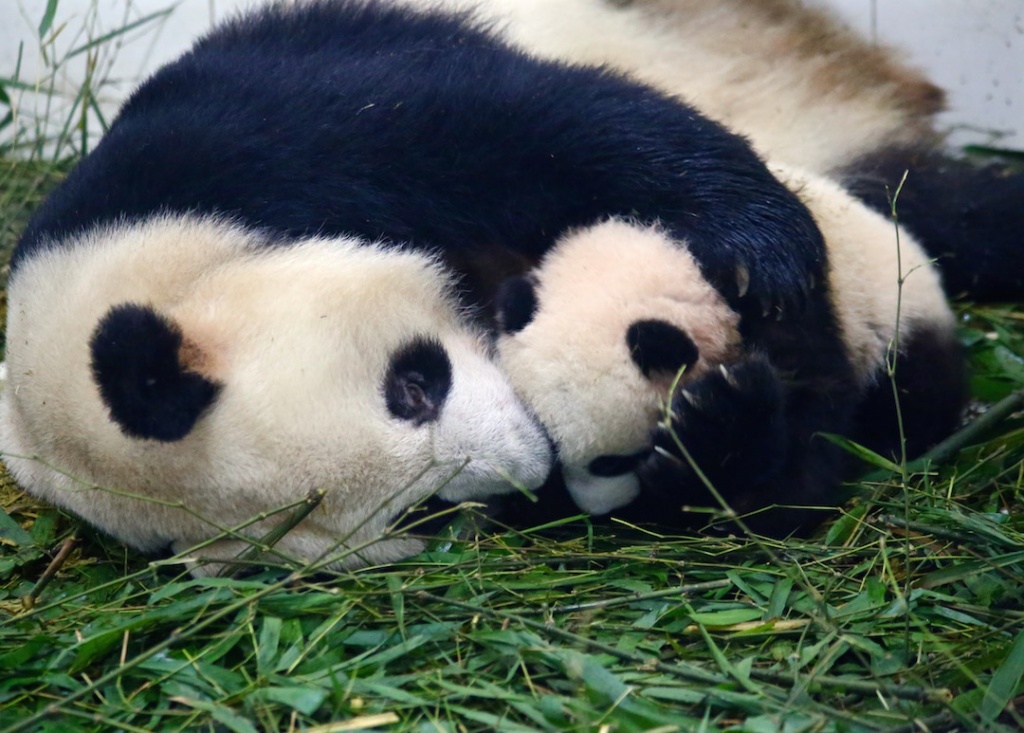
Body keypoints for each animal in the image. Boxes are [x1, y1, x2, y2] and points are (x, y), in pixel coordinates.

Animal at [0, 0, 823, 573]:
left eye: (411, 385)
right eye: (421, 515)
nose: (532, 462)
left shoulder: (238, 145)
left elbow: (525, 127)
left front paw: (762, 256)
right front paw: (712, 425)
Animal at [493, 165, 958, 532]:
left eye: (612, 463)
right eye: (555, 456)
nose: (598, 510)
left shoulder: (795, 314)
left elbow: (800, 466)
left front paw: (716, 420)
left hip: (900, 324)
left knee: (913, 397)